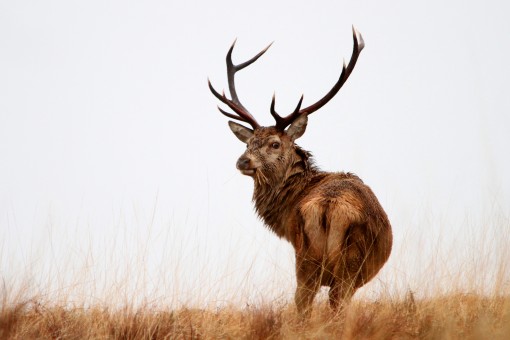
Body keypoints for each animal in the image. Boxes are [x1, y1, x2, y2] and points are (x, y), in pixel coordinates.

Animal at [209, 26, 392, 316]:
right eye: (249, 143)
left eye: (274, 143)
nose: (242, 161)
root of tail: (328, 206)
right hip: (336, 264)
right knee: (321, 303)